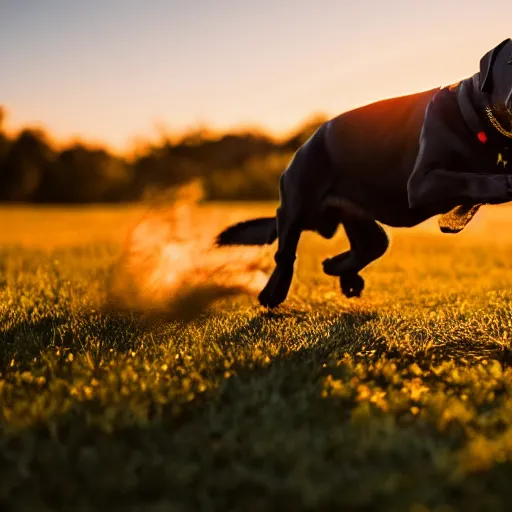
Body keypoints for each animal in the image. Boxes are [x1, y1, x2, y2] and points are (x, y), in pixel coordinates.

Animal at [216, 38, 512, 308]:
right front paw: (503, 184)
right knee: (286, 253)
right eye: (510, 63)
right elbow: (470, 178)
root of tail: (306, 144)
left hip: (361, 221)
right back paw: (273, 293)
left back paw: (341, 273)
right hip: (296, 205)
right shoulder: (422, 182)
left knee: (366, 248)